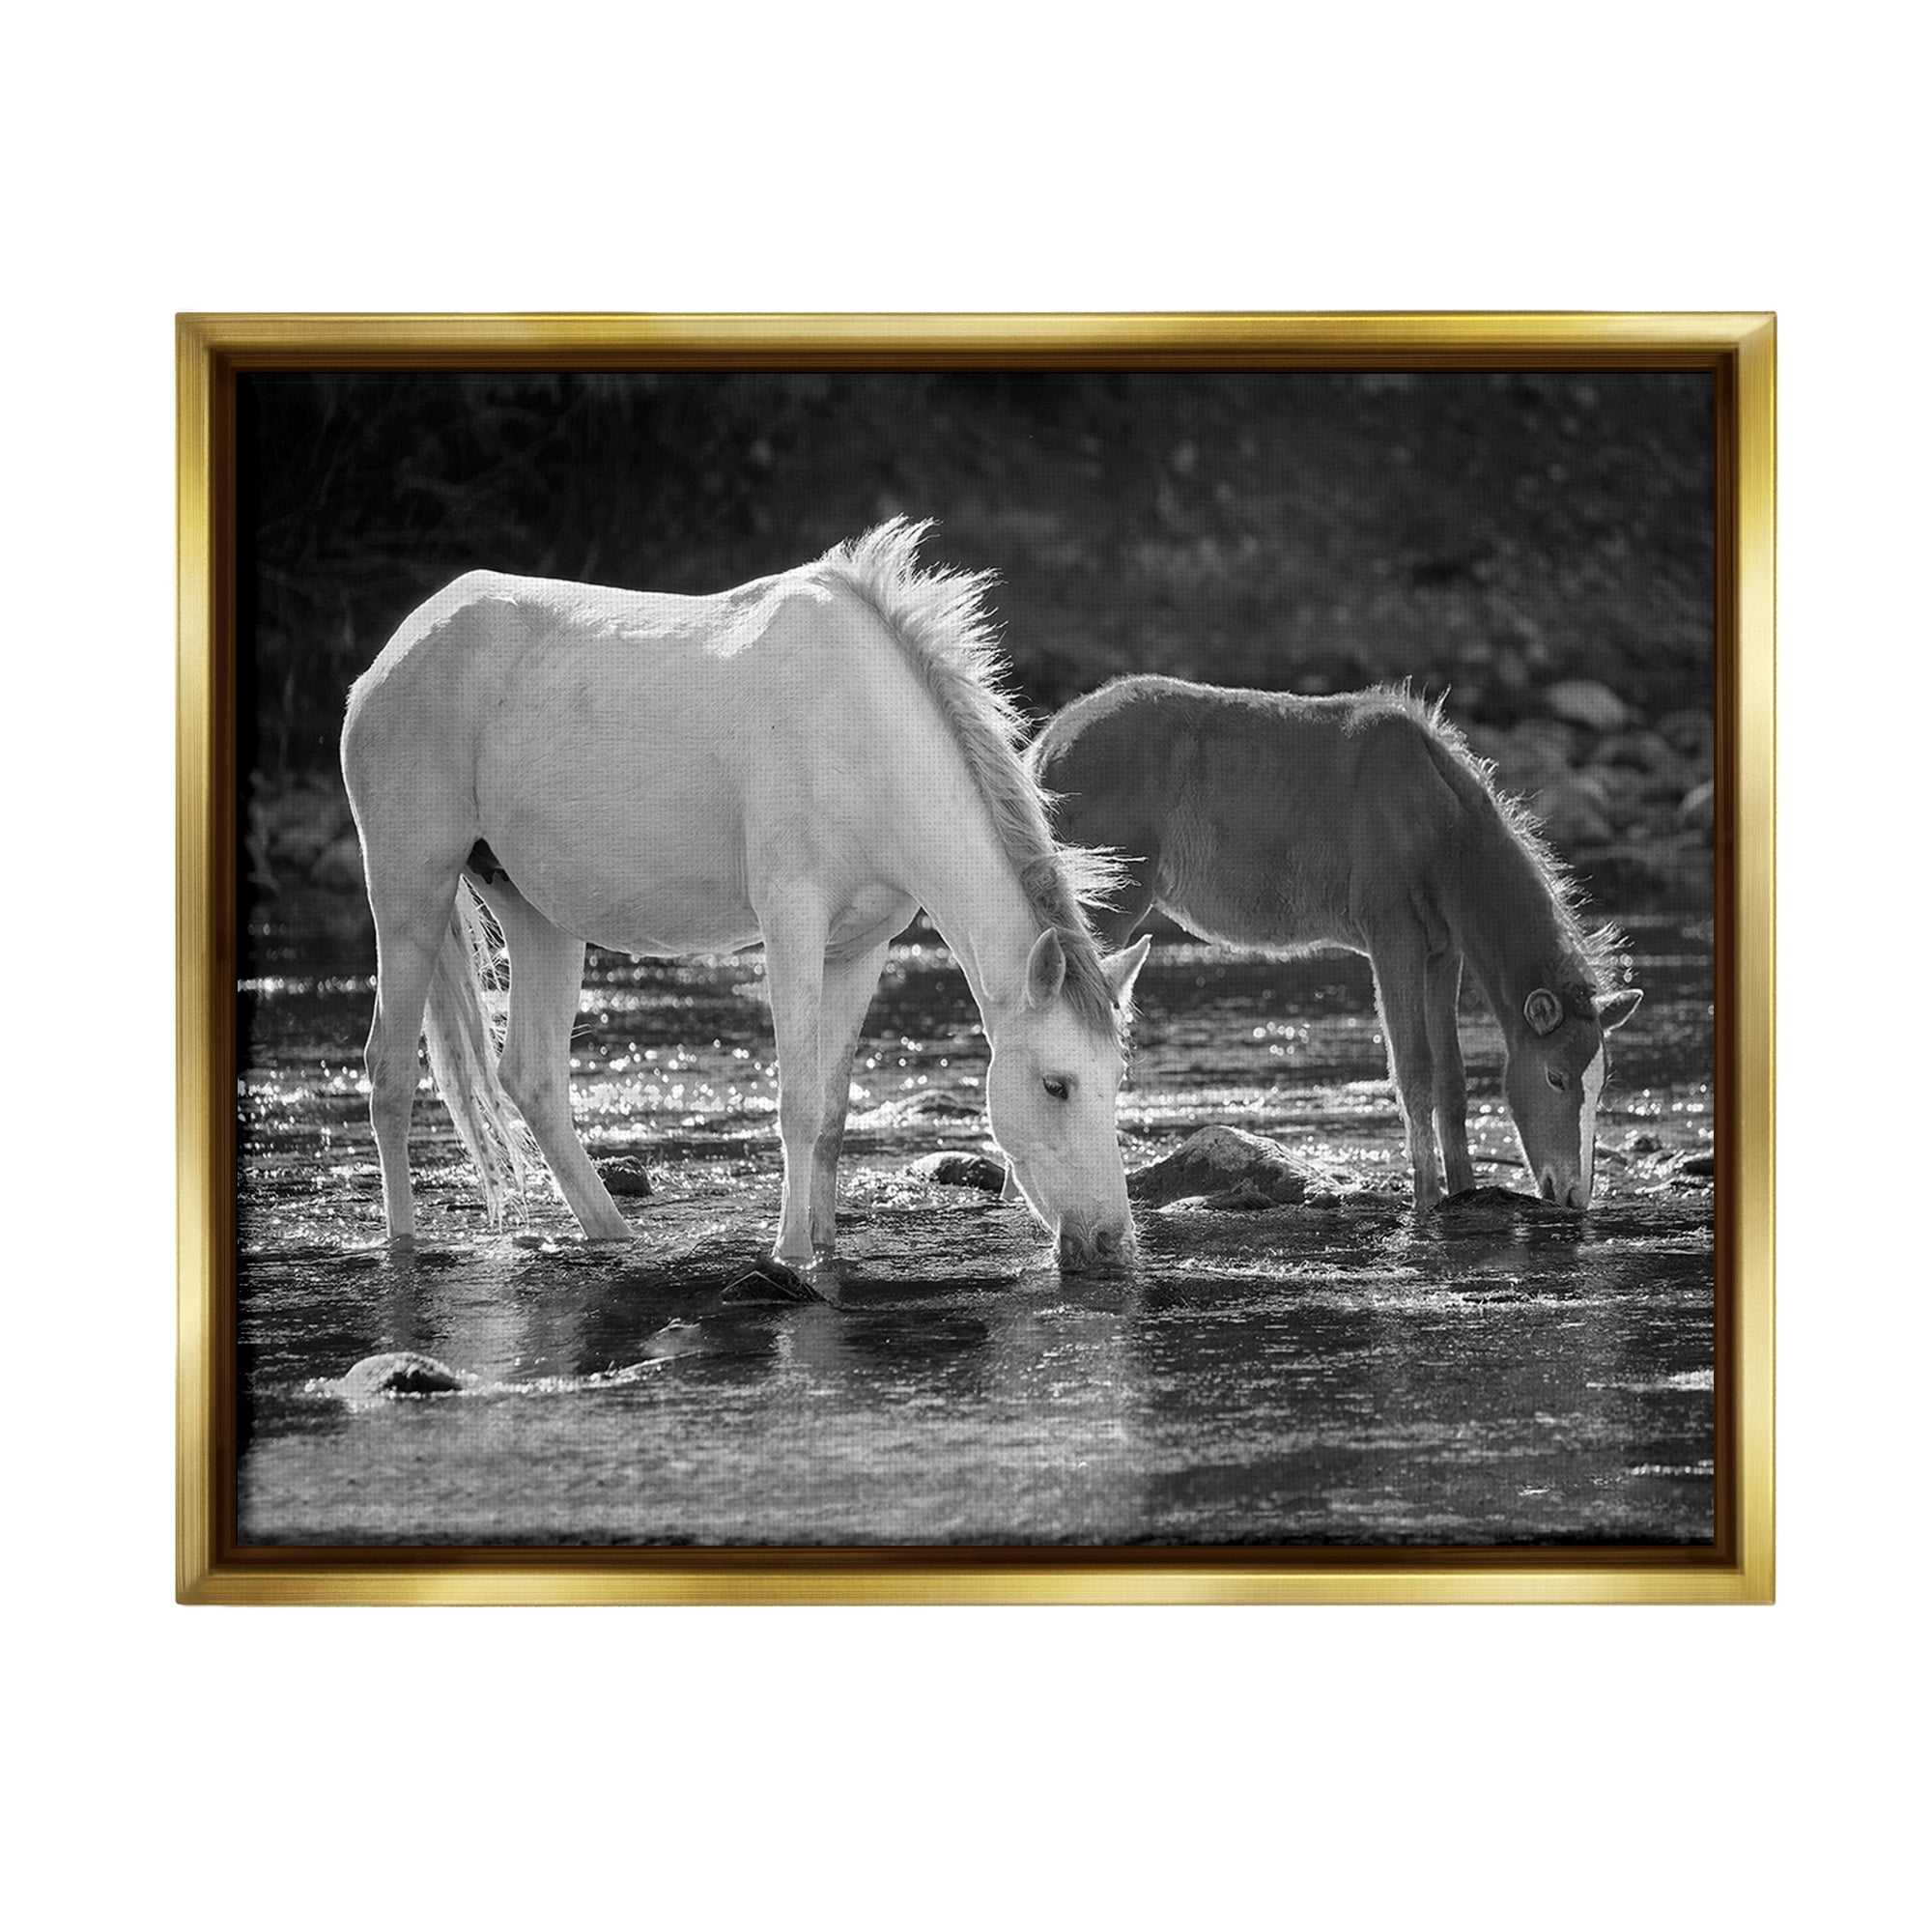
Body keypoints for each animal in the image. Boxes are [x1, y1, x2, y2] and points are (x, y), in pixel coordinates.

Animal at [340, 519, 1151, 1289]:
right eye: (1056, 1085)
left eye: (1118, 1079)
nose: (1111, 1244)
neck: (865, 736)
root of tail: (395, 654)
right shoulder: (791, 923)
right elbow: (797, 1102)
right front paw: (791, 1252)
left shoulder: (860, 947)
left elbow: (832, 1112)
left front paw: (825, 1246)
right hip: (411, 887)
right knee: (390, 1073)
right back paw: (402, 1246)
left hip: (537, 913)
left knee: (532, 1078)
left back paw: (614, 1238)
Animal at [1030, 675, 1642, 1211]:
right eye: (1556, 1077)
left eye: (1601, 1083)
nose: (1573, 1195)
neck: (1439, 823)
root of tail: (1047, 744)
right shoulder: (1394, 939)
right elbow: (1413, 1070)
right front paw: (1426, 1200)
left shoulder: (1443, 954)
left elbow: (1453, 1078)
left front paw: (1465, 1191)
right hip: (1108, 908)